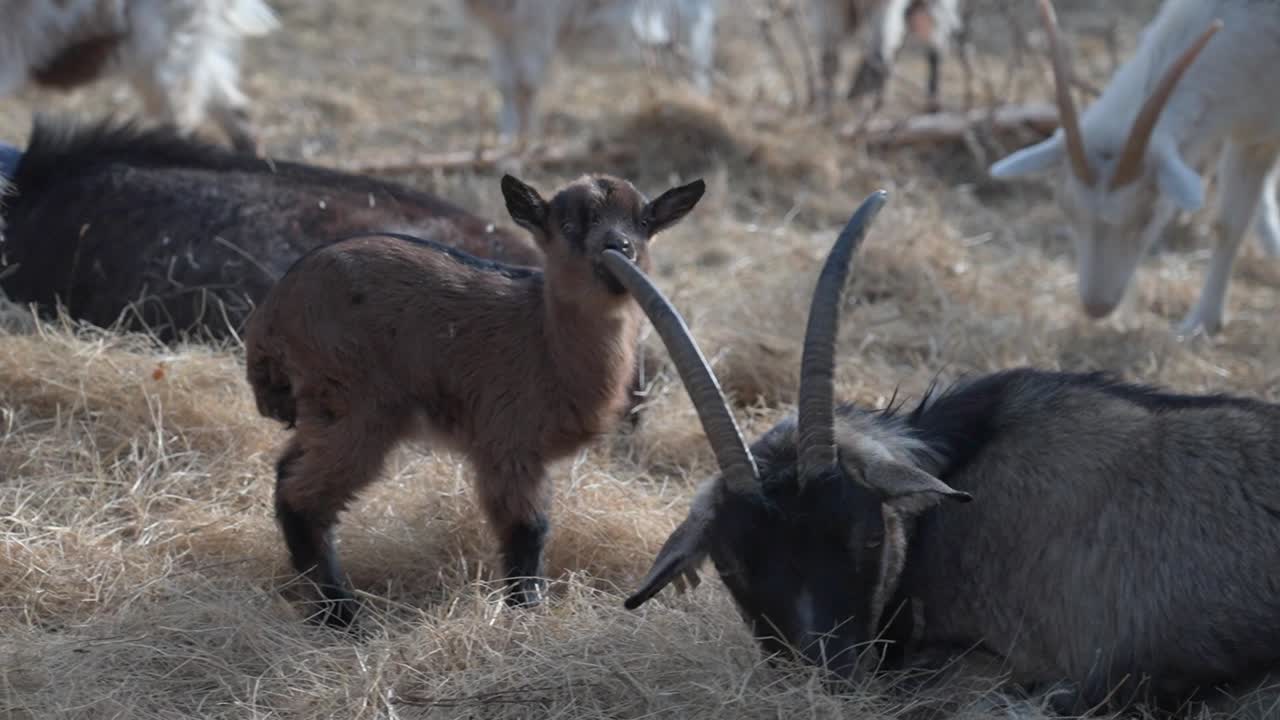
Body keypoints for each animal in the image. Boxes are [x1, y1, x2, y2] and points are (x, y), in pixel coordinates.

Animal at [244, 173, 705, 626]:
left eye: (644, 222)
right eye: (569, 225)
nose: (619, 247)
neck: (544, 337)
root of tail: (269, 317)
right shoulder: (507, 442)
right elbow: (527, 529)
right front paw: (525, 610)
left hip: (324, 410)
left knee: (287, 471)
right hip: (356, 403)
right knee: (304, 497)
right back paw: (341, 615)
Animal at [460, 0, 718, 142]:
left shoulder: (536, 24)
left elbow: (525, 85)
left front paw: (522, 146)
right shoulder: (504, 30)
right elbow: (506, 85)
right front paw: (507, 143)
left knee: (698, 41)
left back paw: (697, 106)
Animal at [988, 0, 1280, 336]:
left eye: (1147, 216)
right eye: (1067, 209)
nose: (1096, 307)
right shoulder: (1252, 132)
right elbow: (1228, 226)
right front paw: (1201, 324)